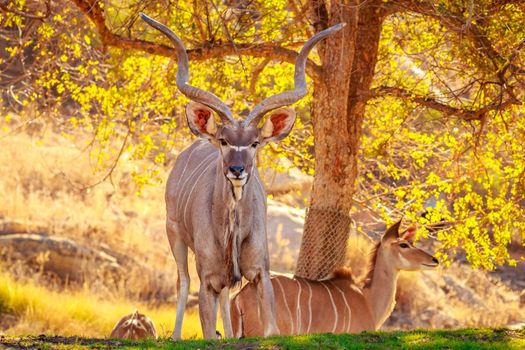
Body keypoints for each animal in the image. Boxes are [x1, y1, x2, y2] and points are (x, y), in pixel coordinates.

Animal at [139, 13, 344, 340]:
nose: (237, 170)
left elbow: (269, 327)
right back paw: (175, 336)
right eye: (224, 141)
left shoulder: (260, 273)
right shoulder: (207, 279)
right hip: (174, 236)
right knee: (182, 281)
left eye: (255, 143)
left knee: (224, 296)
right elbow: (207, 326)